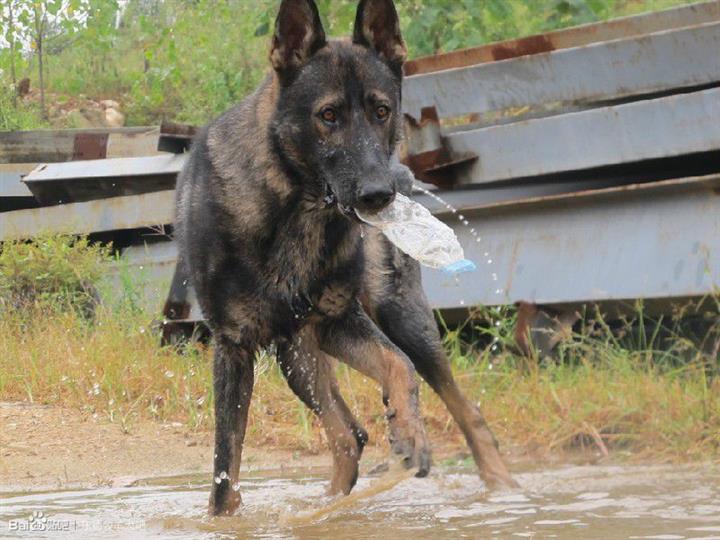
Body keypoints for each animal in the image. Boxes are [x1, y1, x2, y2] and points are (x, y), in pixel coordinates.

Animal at [173, 0, 516, 516]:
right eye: (329, 115)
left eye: (382, 111)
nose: (380, 194)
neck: (297, 209)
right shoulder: (234, 347)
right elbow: (224, 470)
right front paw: (223, 520)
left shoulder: (339, 320)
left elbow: (399, 367)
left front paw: (410, 432)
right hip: (297, 357)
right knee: (348, 435)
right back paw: (325, 509)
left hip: (398, 320)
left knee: (460, 407)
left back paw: (503, 489)